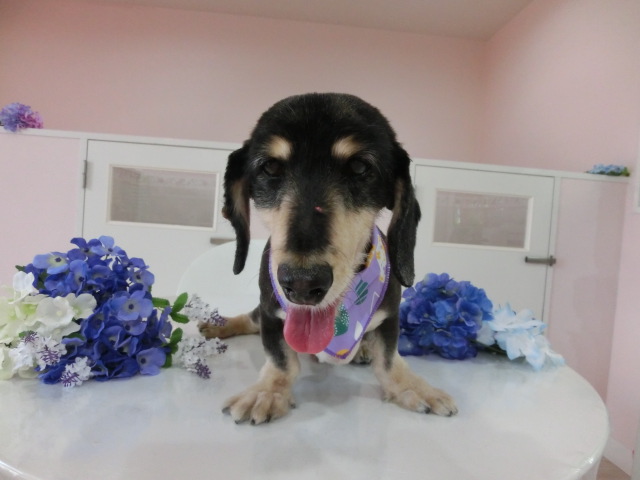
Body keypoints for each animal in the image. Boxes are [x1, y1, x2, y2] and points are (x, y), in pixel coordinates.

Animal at [200, 93, 458, 425]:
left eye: (360, 166)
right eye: (270, 167)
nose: (302, 284)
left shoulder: (390, 317)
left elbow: (389, 360)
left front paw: (411, 386)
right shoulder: (272, 313)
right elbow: (282, 360)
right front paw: (268, 391)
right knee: (249, 318)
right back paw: (219, 326)